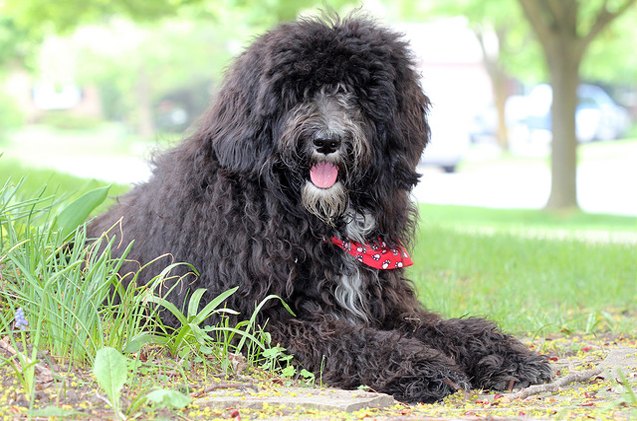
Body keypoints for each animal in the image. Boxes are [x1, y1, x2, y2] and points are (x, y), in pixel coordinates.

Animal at [89, 18, 552, 402]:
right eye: (298, 91)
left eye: (356, 92)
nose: (327, 141)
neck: (309, 215)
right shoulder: (248, 317)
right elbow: (350, 340)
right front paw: (421, 366)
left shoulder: (385, 306)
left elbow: (454, 328)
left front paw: (507, 355)